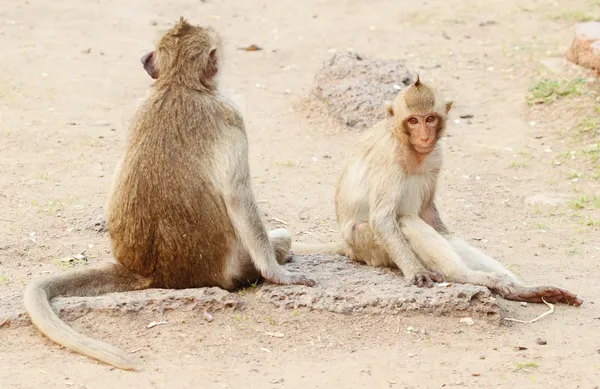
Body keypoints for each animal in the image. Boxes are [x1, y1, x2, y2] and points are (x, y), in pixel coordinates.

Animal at [24, 17, 316, 370]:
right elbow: (238, 196)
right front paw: (278, 273)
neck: (177, 84)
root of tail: (150, 274)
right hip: (232, 270)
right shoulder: (231, 115)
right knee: (278, 237)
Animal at [292, 76, 584, 306]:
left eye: (430, 119)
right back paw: (466, 277)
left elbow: (429, 213)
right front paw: (415, 272)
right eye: (413, 121)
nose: (424, 136)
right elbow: (383, 218)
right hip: (369, 247)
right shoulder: (389, 156)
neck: (410, 149)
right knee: (404, 221)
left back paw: (519, 289)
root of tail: (348, 247)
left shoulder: (436, 158)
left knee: (442, 235)